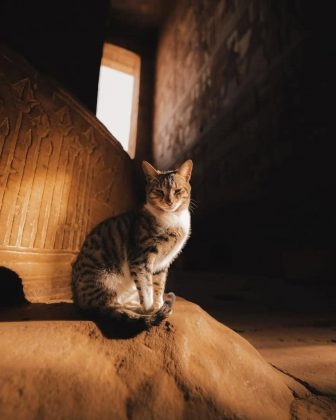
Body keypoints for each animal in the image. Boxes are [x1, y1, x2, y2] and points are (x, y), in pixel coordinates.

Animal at [71, 159, 192, 326]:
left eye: (178, 191)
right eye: (159, 192)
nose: (169, 201)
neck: (173, 219)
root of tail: (78, 300)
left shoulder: (161, 264)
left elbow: (158, 286)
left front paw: (158, 305)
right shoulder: (140, 258)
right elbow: (146, 288)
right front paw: (150, 311)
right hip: (105, 280)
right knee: (111, 306)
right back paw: (138, 310)